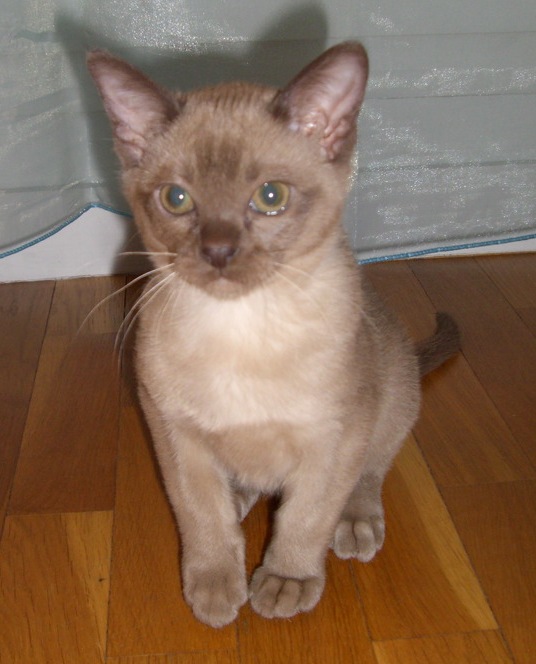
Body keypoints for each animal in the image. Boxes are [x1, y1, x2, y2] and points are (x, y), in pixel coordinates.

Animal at [89, 42, 460, 628]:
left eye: (270, 196)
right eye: (176, 199)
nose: (218, 252)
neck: (240, 328)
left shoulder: (335, 436)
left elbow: (307, 515)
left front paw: (285, 581)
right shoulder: (173, 431)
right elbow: (199, 512)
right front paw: (215, 587)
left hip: (392, 393)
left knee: (370, 473)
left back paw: (354, 526)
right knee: (240, 491)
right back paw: (242, 501)